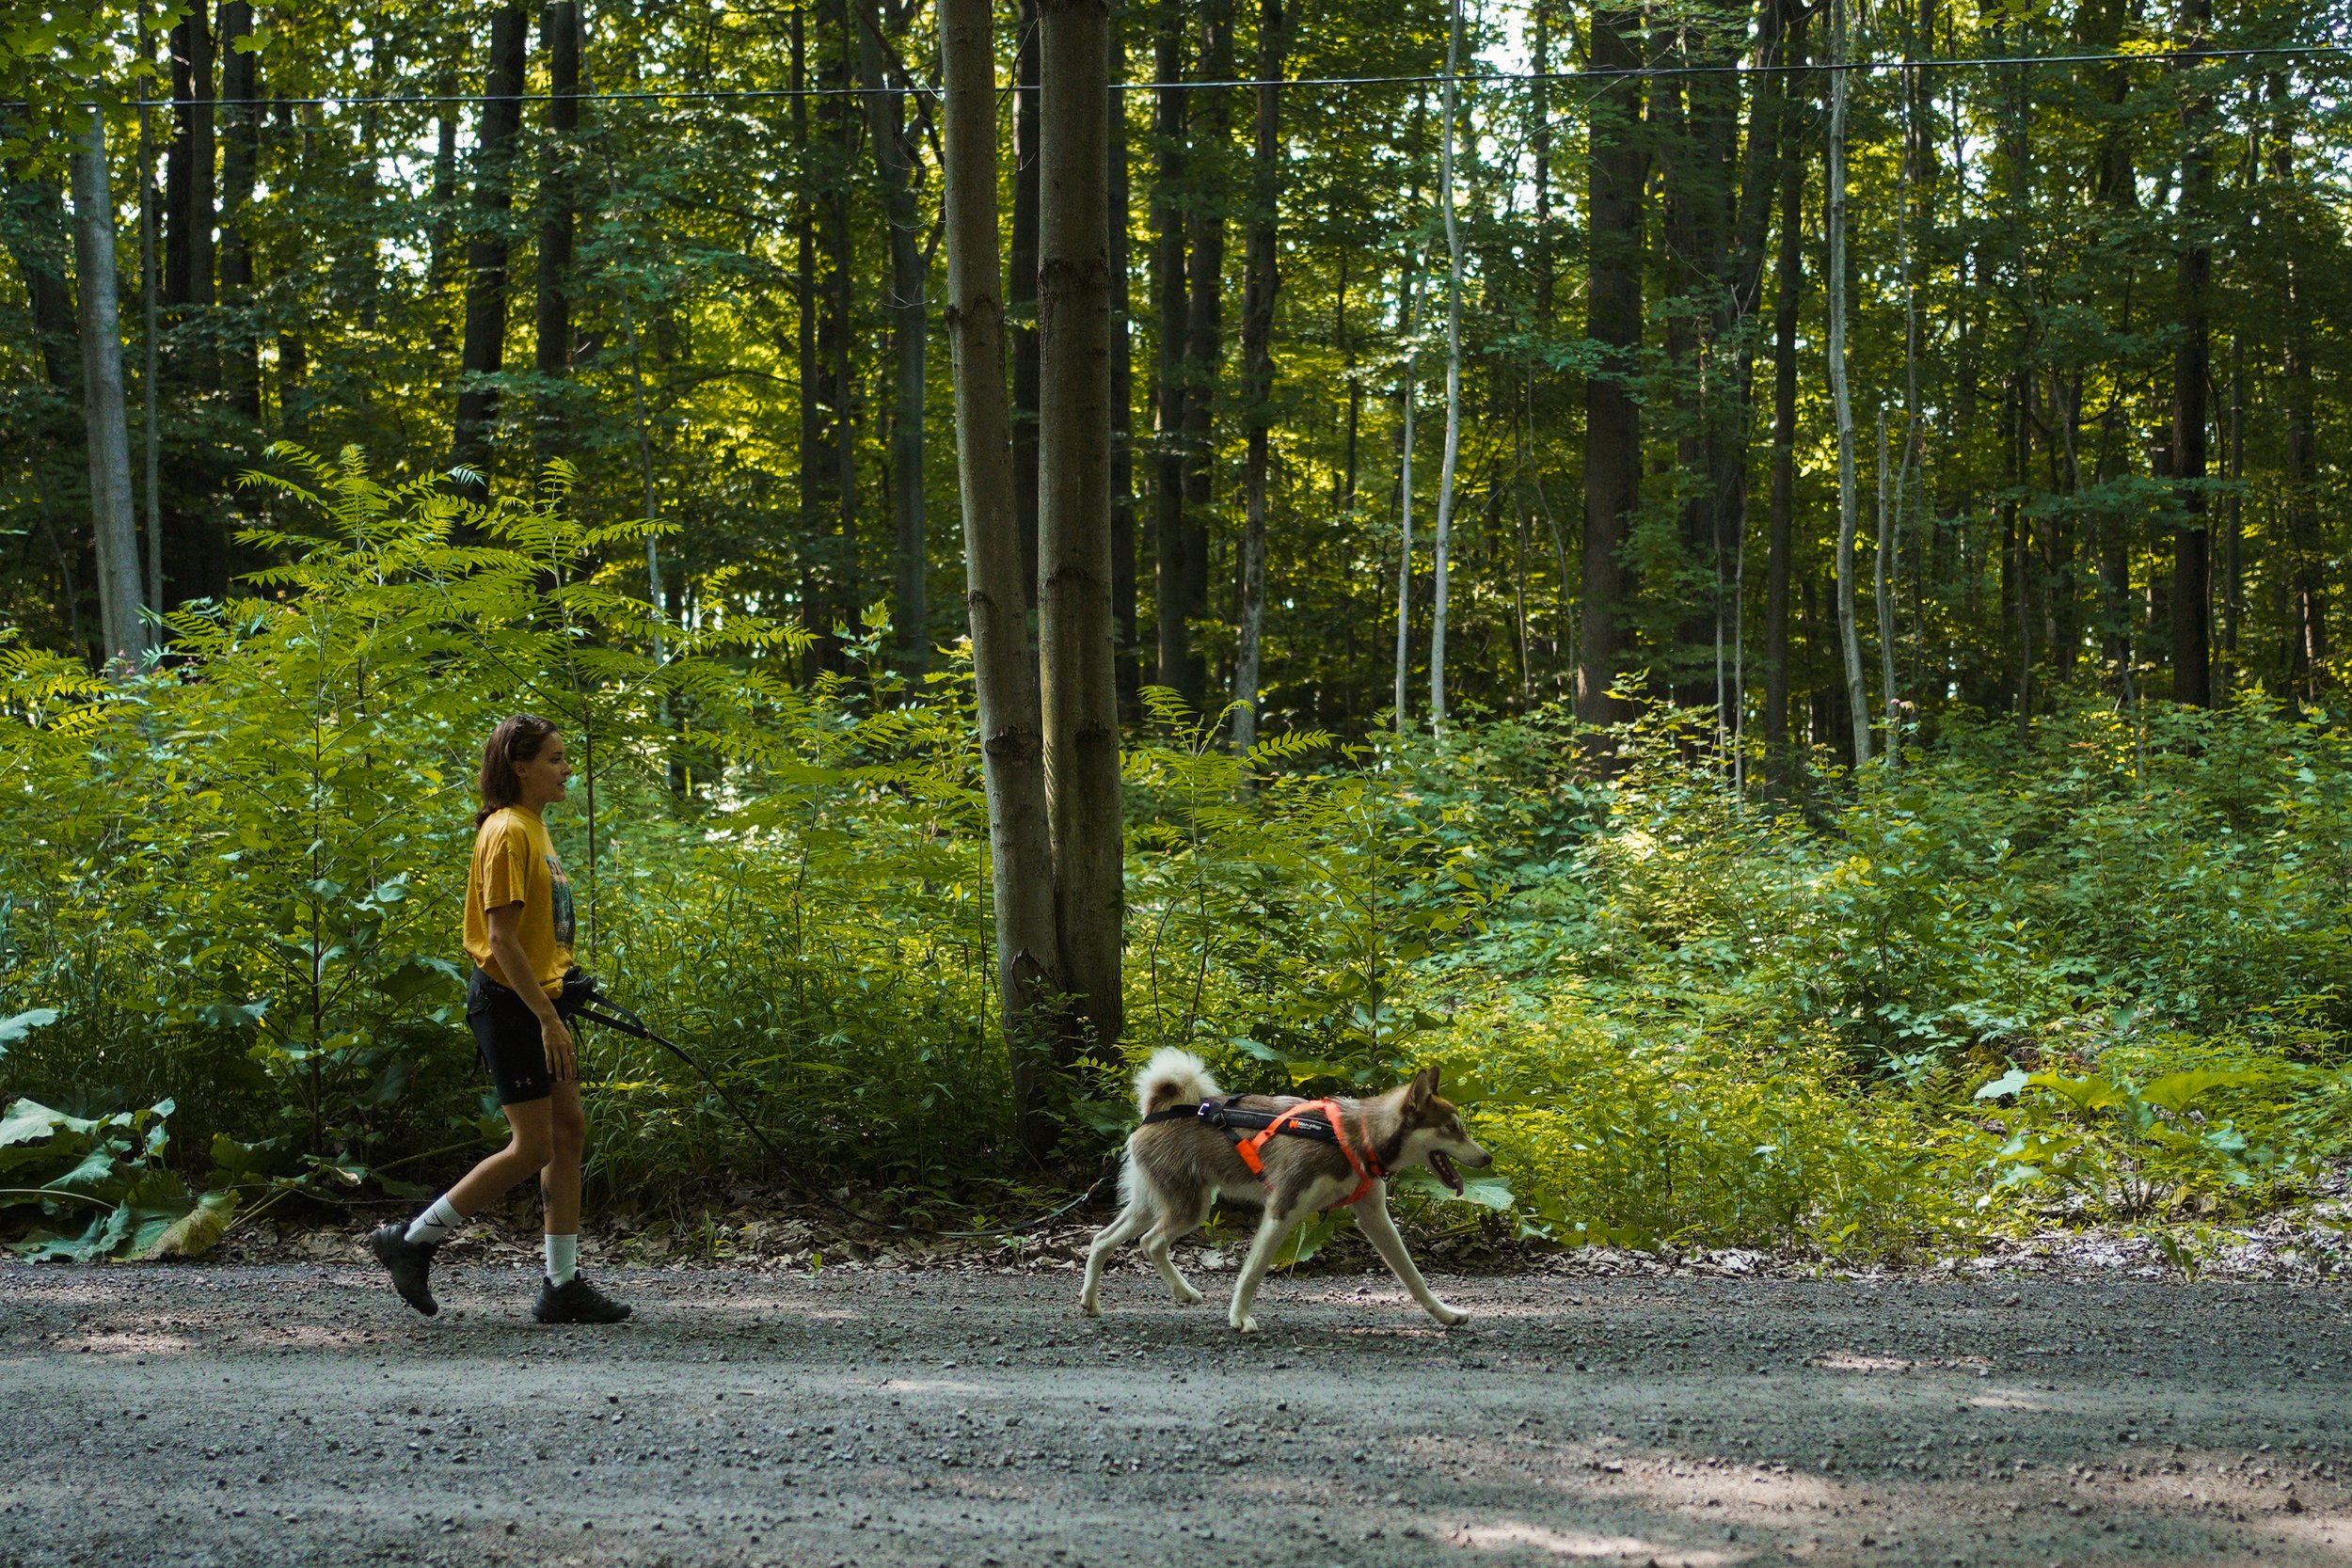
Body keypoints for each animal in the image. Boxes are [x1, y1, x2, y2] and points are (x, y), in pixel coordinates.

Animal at [1079, 1048, 1493, 1332]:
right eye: (1453, 1129)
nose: (1488, 1157)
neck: (1355, 1136)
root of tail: (1156, 1110)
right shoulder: (1282, 1208)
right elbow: (1253, 1271)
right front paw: (1239, 1317)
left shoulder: (1375, 1217)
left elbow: (1413, 1276)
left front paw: (1445, 1314)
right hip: (1188, 1207)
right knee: (1148, 1241)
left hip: (1156, 1204)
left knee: (1107, 1240)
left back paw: (1098, 1302)